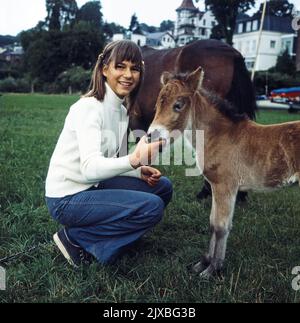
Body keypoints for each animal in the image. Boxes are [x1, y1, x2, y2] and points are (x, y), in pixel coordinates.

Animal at [148, 67, 300, 278]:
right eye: (157, 104)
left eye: (178, 105)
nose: (150, 136)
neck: (222, 135)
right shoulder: (215, 187)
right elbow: (213, 223)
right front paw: (202, 263)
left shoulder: (225, 186)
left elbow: (221, 227)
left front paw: (212, 270)